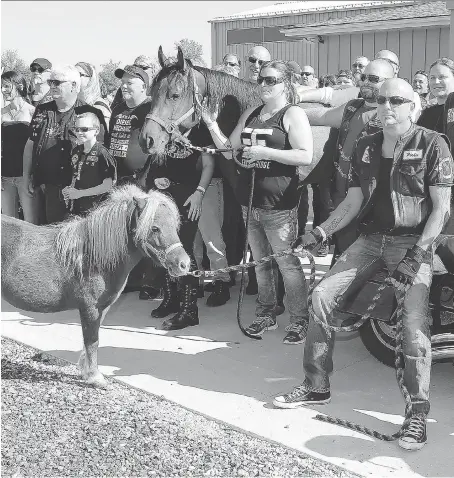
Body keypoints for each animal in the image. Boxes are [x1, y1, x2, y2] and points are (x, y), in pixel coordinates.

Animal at [1, 184, 190, 388]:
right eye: (154, 228)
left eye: (175, 226)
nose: (184, 264)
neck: (92, 257)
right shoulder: (90, 308)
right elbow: (92, 341)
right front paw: (94, 377)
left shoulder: (101, 308)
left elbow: (91, 340)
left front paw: (86, 371)